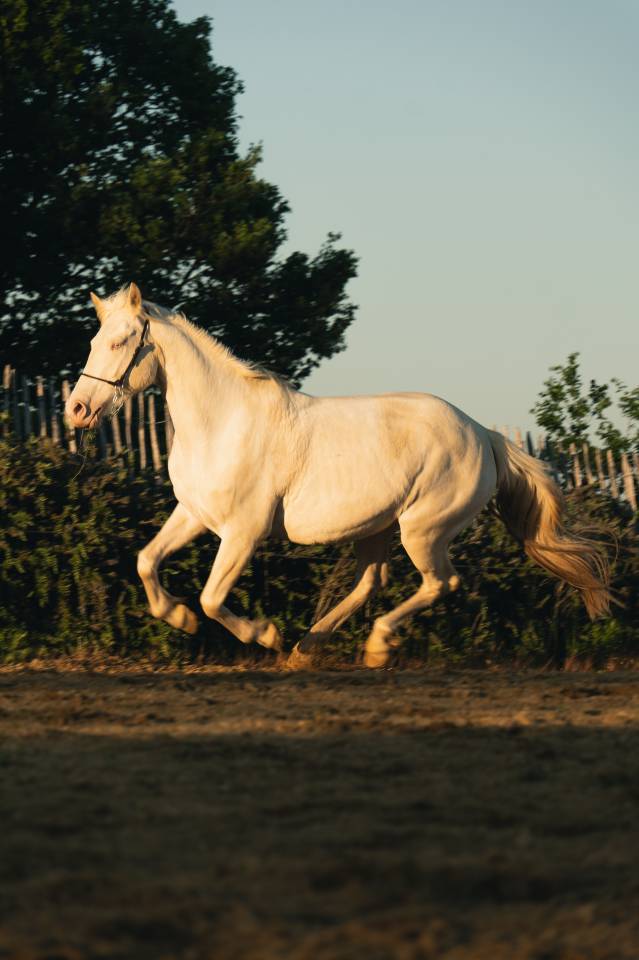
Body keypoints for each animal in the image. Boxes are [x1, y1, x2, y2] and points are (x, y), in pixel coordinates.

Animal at [65, 283, 611, 667]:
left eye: (120, 341)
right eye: (92, 339)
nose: (77, 410)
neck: (223, 421)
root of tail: (483, 434)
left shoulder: (243, 532)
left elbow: (213, 597)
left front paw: (264, 634)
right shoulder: (195, 514)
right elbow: (146, 562)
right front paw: (179, 618)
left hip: (423, 530)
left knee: (440, 583)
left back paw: (372, 646)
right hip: (377, 529)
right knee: (373, 582)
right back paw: (308, 647)